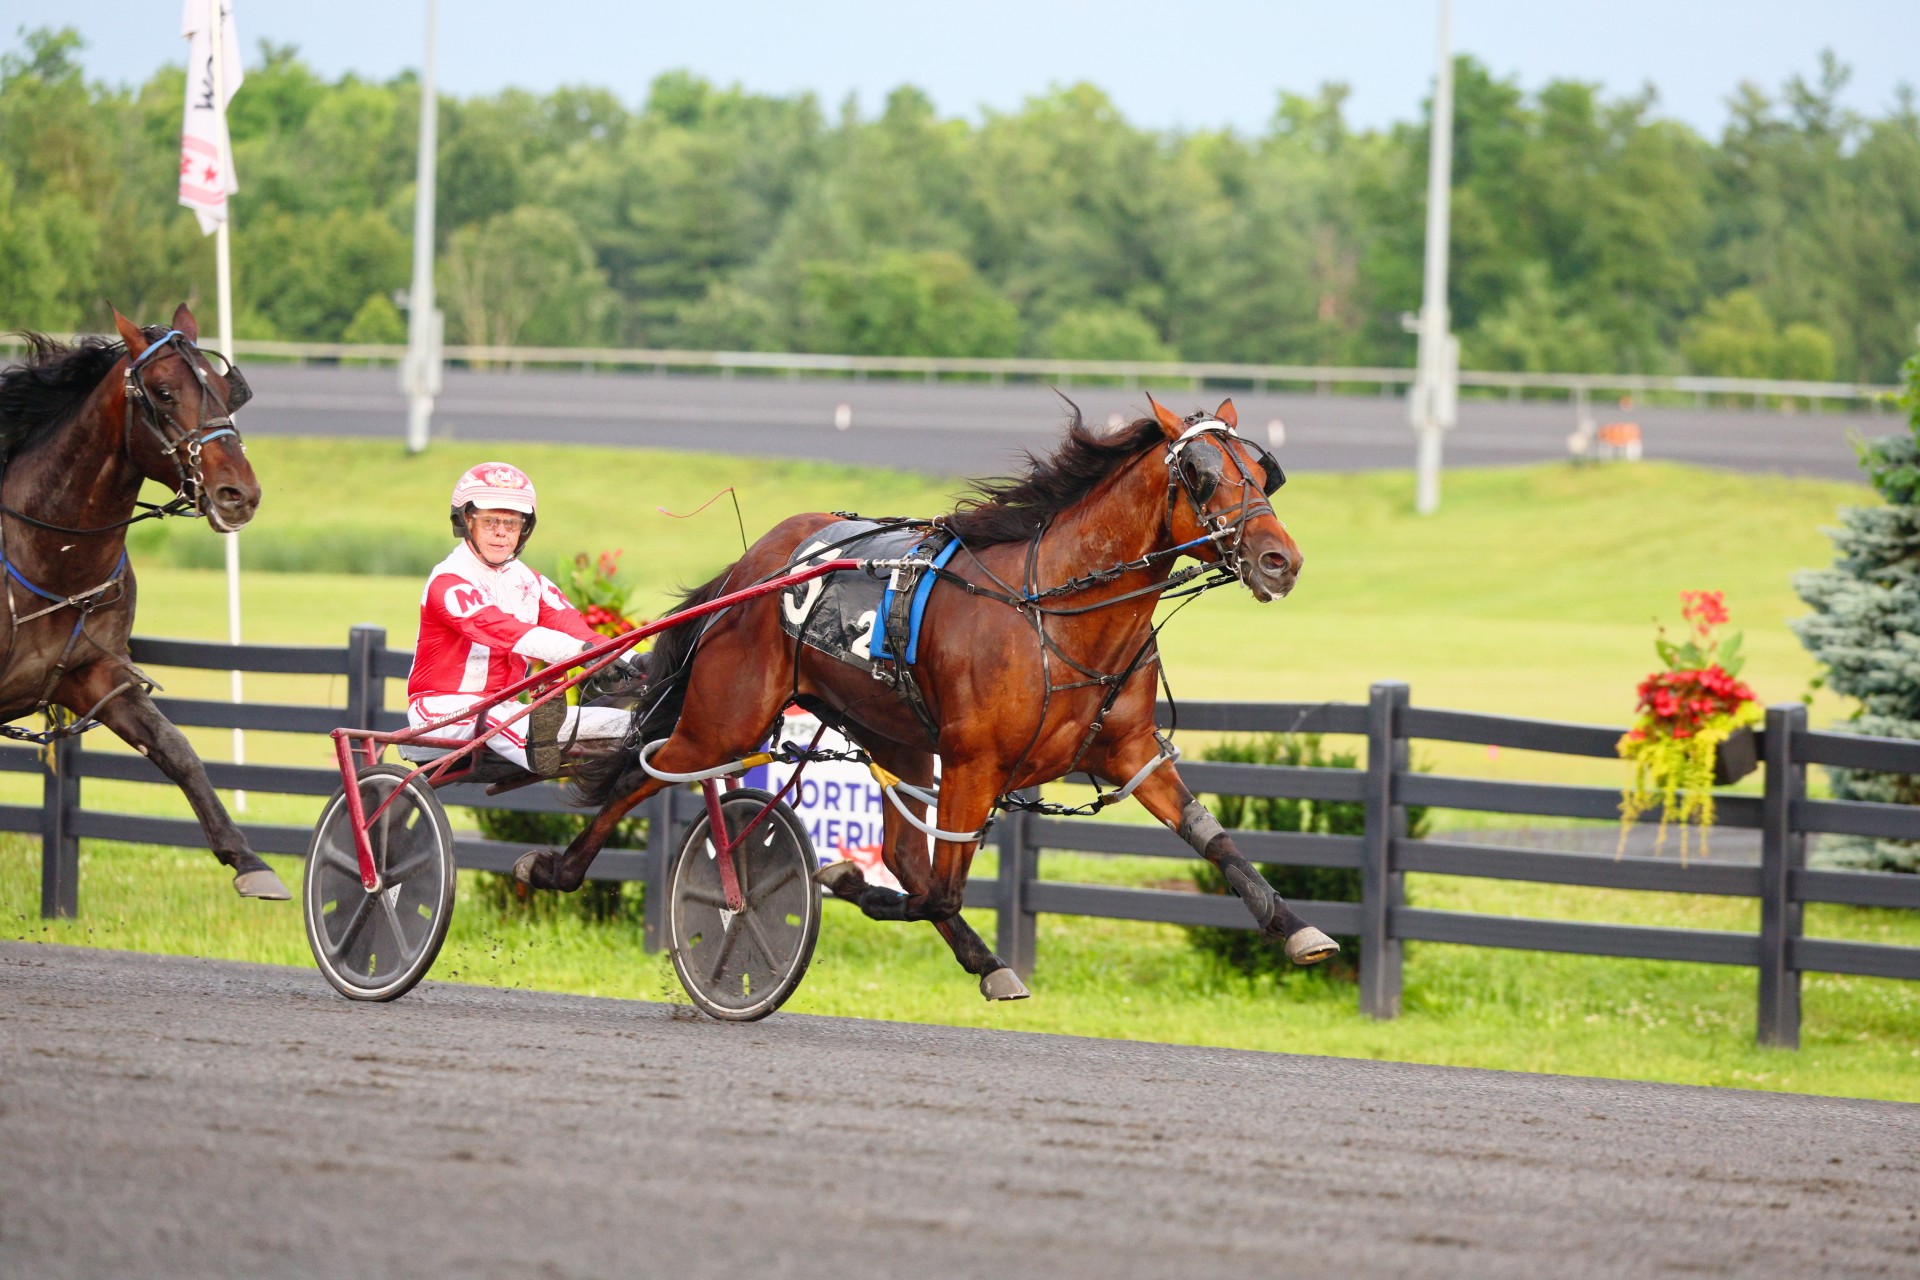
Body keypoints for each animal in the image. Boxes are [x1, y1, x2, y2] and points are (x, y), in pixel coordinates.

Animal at [0, 305, 280, 898]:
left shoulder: (95, 675)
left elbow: (176, 750)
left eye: (227, 389)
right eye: (164, 391)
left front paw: (248, 859)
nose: (238, 494)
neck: (48, 561)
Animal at [526, 395, 1336, 997]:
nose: (1281, 560)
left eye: (1263, 470)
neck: (1053, 609)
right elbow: (939, 890)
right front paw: (845, 878)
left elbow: (1214, 838)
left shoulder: (1131, 751)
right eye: (1199, 473)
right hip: (727, 719)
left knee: (901, 852)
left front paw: (1299, 929)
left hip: (896, 737)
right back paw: (556, 869)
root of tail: (753, 567)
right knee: (645, 772)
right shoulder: (976, 762)